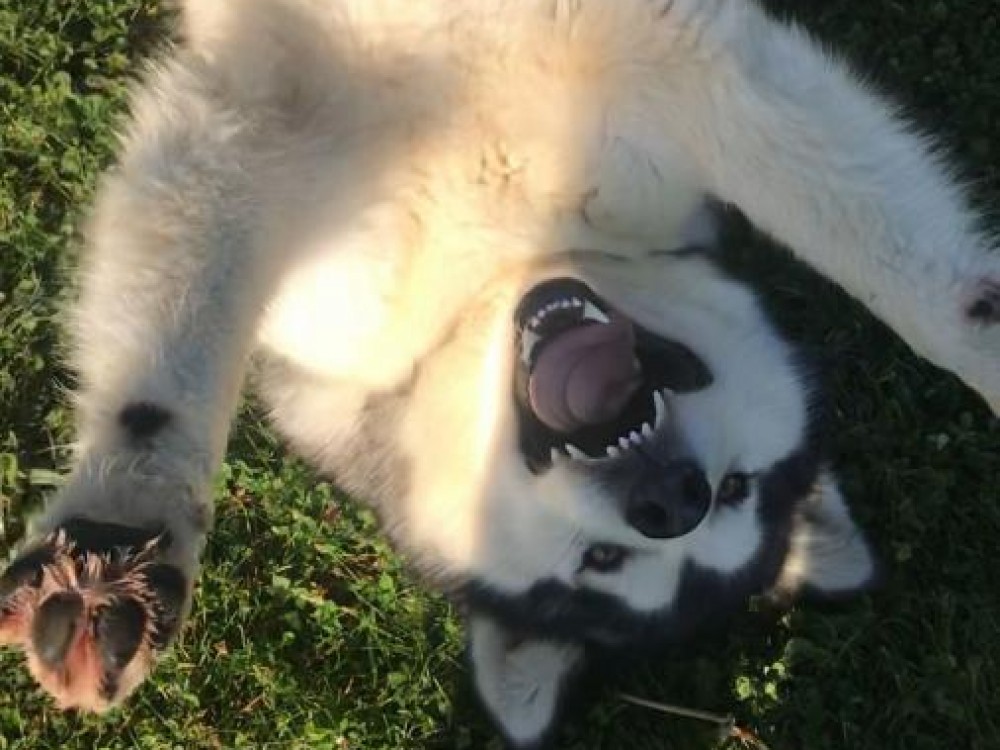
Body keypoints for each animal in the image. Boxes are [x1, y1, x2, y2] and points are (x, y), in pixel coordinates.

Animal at [1, 1, 998, 747]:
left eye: (607, 561)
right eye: (734, 490)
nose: (672, 499)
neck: (494, 250)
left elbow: (909, 279)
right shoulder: (258, 138)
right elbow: (176, 356)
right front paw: (124, 525)